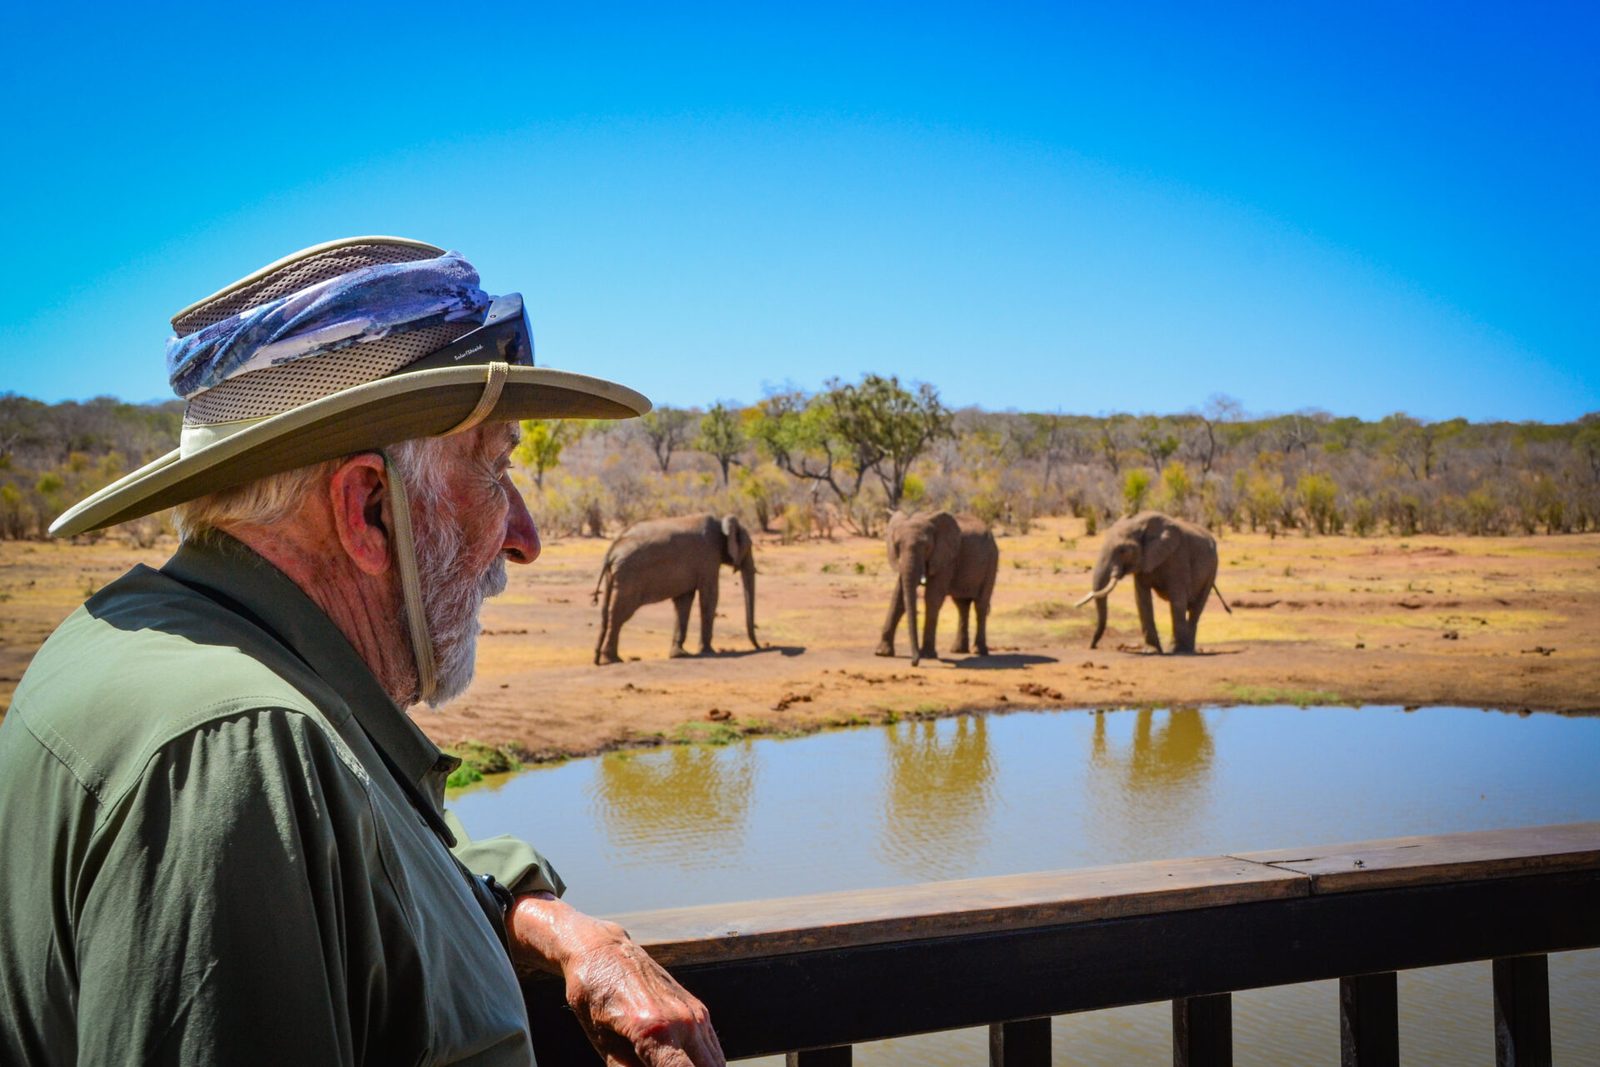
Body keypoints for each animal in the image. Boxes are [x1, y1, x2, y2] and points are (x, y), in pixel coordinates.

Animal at [592, 514, 758, 664]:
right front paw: (709, 652)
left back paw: (601, 659)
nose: (758, 647)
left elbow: (683, 602)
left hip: (614, 576)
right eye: (749, 546)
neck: (720, 523)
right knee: (619, 614)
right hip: (629, 577)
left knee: (606, 613)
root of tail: (611, 551)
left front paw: (680, 654)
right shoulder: (708, 557)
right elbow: (709, 596)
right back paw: (613, 660)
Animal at [876, 511, 999, 665]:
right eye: (897, 546)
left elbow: (932, 597)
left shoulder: (946, 559)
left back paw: (979, 651)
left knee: (980, 605)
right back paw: (958, 650)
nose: (914, 662)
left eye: (927, 547)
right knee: (962, 605)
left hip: (992, 561)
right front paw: (882, 653)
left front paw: (928, 655)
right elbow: (898, 597)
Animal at [1075, 511, 1230, 654]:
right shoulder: (1144, 563)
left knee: (1196, 609)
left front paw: (1175, 651)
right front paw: (1152, 651)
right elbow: (1142, 600)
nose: (1093, 646)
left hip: (1213, 568)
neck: (1141, 524)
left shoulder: (1177, 556)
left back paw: (1186, 650)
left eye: (1123, 550)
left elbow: (1178, 601)